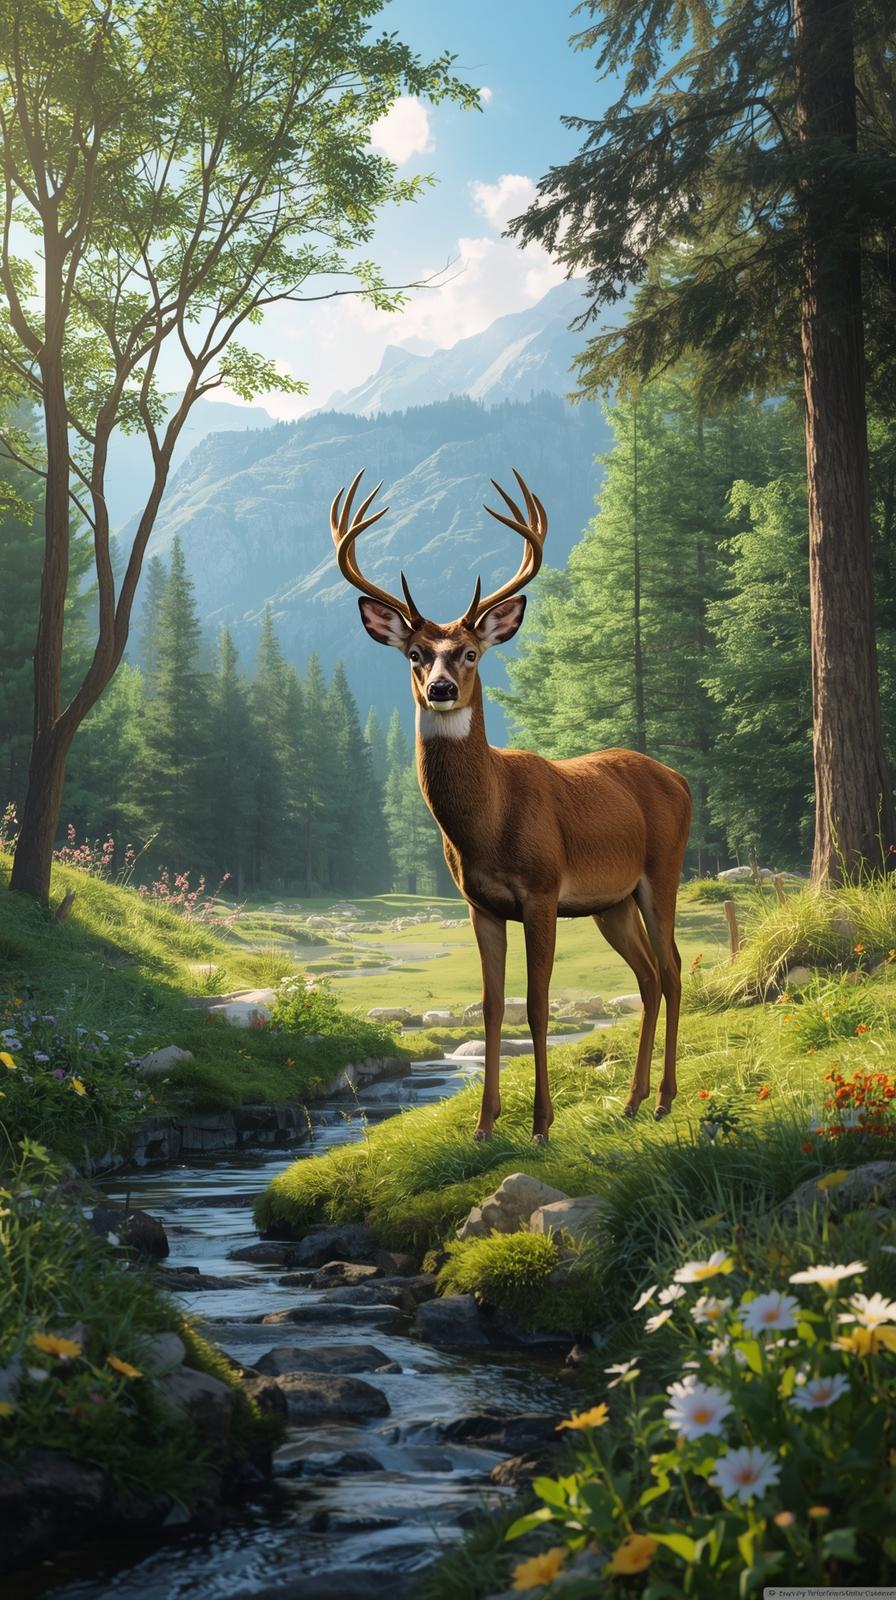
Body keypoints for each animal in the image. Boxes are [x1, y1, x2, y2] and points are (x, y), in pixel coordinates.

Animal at [330, 468, 692, 1143]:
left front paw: (542, 1125)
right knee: (649, 977)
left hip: (663, 870)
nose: (441, 688)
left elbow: (540, 1005)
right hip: (611, 902)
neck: (488, 824)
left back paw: (662, 1100)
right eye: (415, 653)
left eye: (471, 652)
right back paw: (632, 1102)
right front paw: (484, 1124)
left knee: (675, 969)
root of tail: (680, 780)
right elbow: (494, 1008)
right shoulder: (481, 904)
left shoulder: (543, 890)